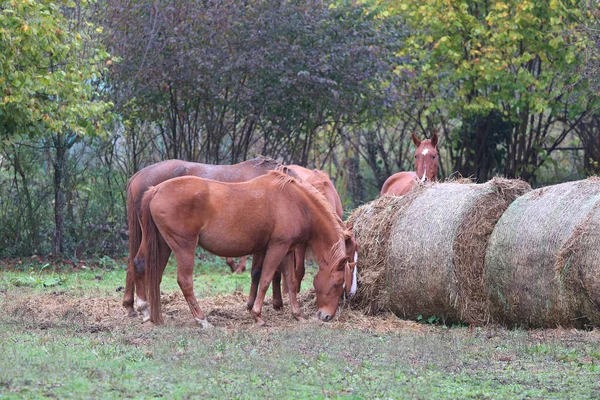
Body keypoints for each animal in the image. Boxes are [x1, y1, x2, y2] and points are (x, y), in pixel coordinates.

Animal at [134, 170, 354, 326]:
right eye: (337, 282)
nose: (326, 316)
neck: (296, 202)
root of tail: (156, 190)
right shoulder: (277, 247)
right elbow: (265, 279)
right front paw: (257, 315)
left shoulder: (287, 250)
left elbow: (290, 282)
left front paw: (297, 314)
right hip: (183, 247)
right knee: (184, 281)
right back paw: (202, 320)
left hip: (163, 245)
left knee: (150, 272)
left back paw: (152, 314)